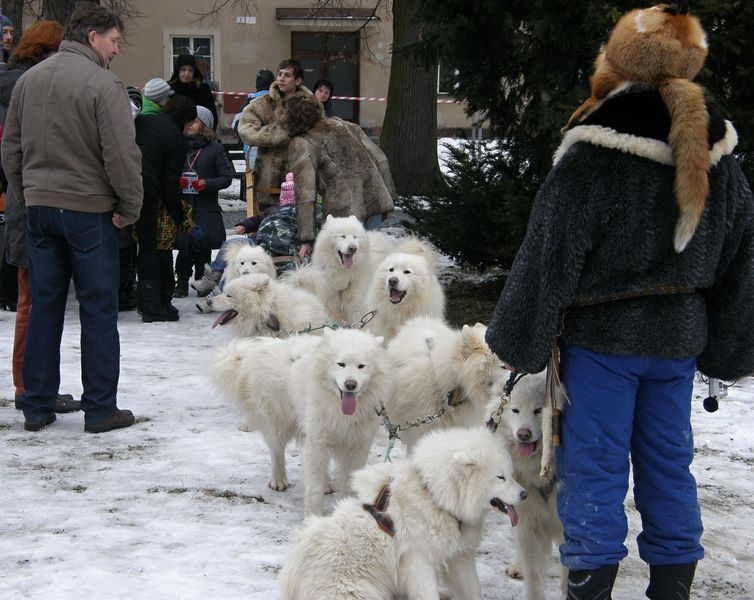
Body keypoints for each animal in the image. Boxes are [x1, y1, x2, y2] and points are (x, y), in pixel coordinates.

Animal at [274, 426, 524, 600]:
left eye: (510, 474)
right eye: (500, 477)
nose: (524, 494)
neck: (435, 496)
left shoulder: (460, 557)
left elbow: (473, 590)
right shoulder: (418, 562)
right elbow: (428, 594)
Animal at [290, 328, 390, 516]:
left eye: (361, 366)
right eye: (341, 364)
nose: (350, 384)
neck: (343, 417)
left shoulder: (358, 447)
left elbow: (350, 484)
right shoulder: (317, 442)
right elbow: (314, 489)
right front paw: (313, 517)